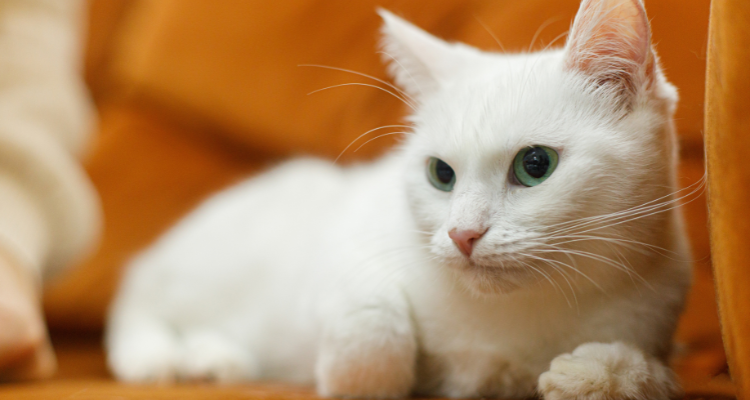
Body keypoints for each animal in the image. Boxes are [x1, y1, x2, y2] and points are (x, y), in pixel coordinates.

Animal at [106, 0, 692, 396]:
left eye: (535, 166)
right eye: (440, 174)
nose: (462, 234)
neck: (513, 315)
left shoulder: (652, 314)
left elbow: (640, 368)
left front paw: (591, 374)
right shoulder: (344, 253)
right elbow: (374, 326)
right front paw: (358, 374)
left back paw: (213, 356)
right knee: (136, 300)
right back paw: (161, 357)